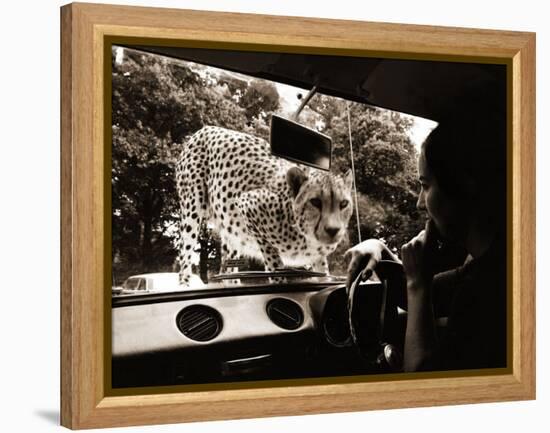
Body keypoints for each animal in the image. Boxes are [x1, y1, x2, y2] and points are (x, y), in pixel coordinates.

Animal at [178, 125, 358, 286]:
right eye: (315, 202)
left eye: (343, 204)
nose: (333, 230)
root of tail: (206, 128)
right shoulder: (248, 204)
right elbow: (274, 260)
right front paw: (279, 281)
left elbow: (322, 272)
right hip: (192, 212)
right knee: (185, 256)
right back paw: (185, 285)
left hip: (231, 230)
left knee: (228, 267)